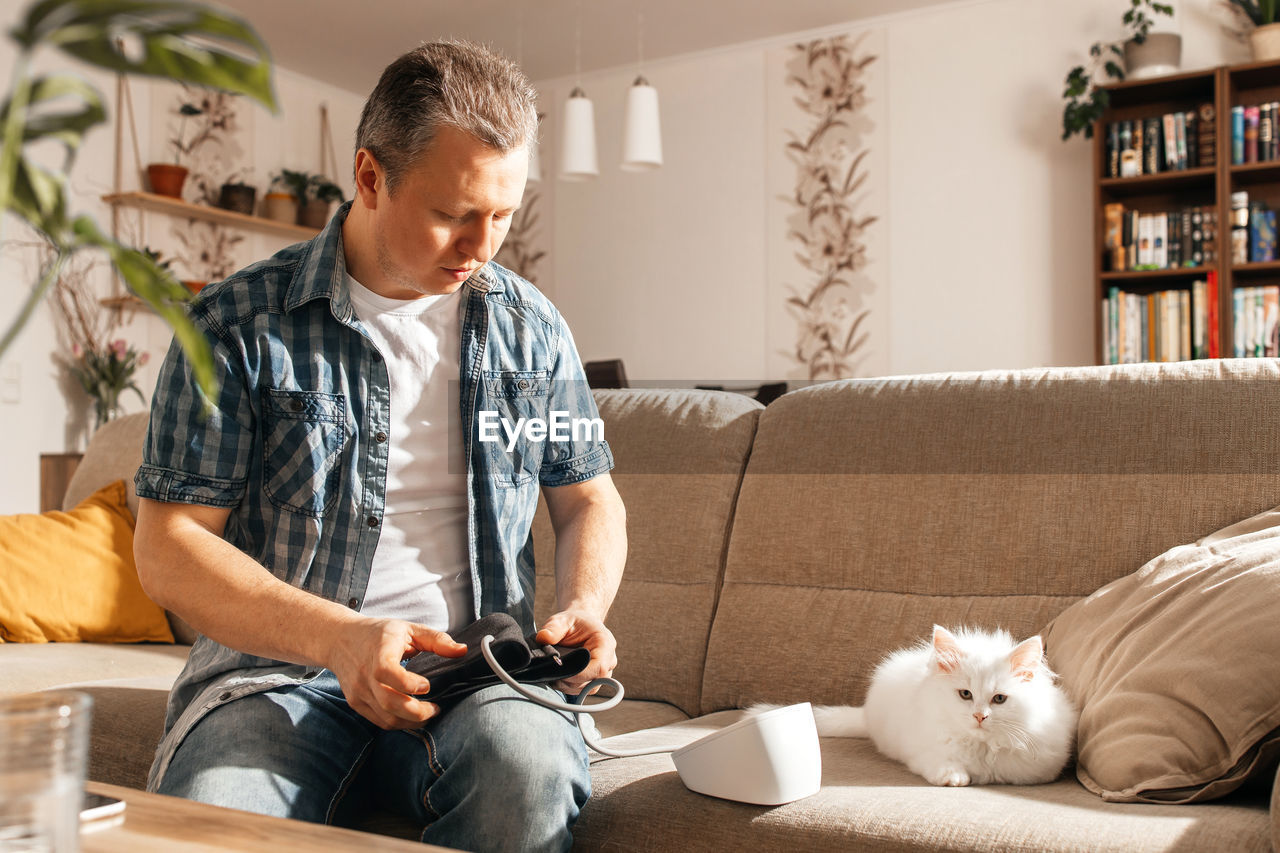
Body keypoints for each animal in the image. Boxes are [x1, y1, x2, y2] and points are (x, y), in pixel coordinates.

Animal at [752, 622, 1075, 788]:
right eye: (965, 694)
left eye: (999, 699)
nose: (980, 717)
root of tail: (866, 715)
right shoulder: (921, 751)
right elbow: (943, 764)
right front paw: (956, 778)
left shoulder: (1037, 768)